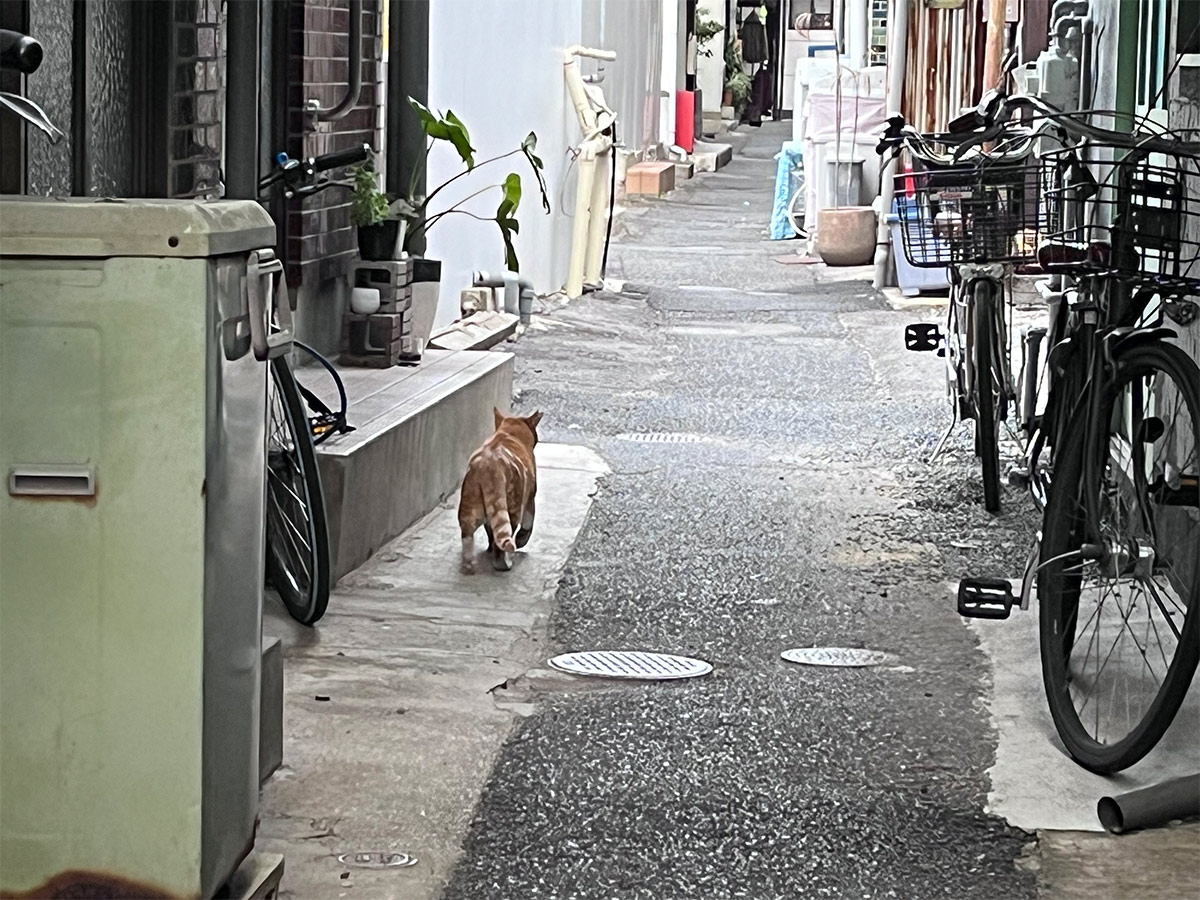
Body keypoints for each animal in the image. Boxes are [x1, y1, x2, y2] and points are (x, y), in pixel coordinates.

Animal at [456, 408, 542, 571]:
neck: (508, 433)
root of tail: (489, 467)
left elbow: (491, 532)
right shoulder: (530, 496)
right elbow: (528, 523)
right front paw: (521, 540)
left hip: (470, 509)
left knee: (469, 535)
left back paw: (469, 564)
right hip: (513, 507)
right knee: (503, 540)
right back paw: (503, 564)